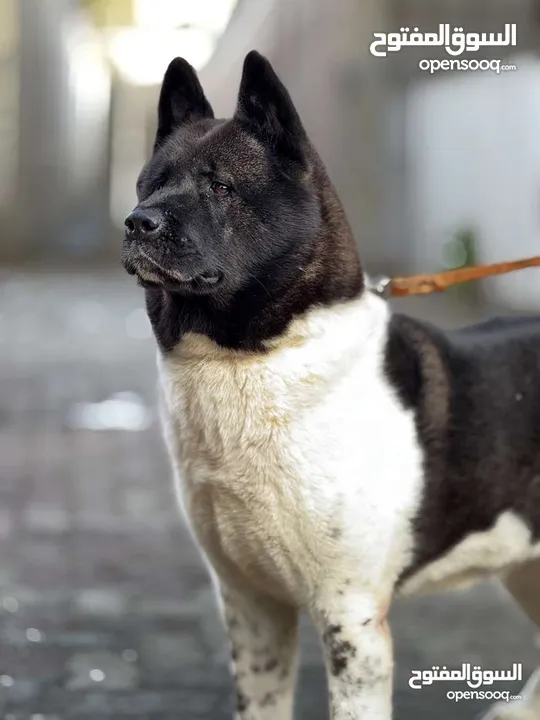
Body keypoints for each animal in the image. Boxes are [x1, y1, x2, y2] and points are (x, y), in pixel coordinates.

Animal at [121, 50, 540, 720]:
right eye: (150, 184)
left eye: (220, 185)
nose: (138, 222)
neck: (252, 357)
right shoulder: (252, 606)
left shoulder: (351, 616)